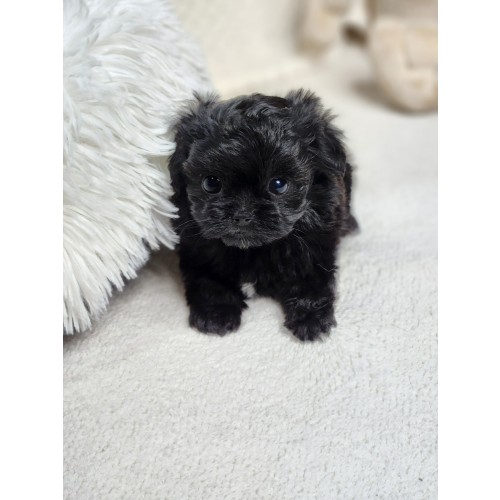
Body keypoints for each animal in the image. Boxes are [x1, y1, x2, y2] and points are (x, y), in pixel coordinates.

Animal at [168, 89, 358, 341]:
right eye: (211, 183)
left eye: (278, 185)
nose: (242, 214)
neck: (254, 250)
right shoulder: (197, 251)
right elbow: (209, 281)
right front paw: (215, 315)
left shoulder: (315, 247)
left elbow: (311, 279)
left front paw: (311, 319)